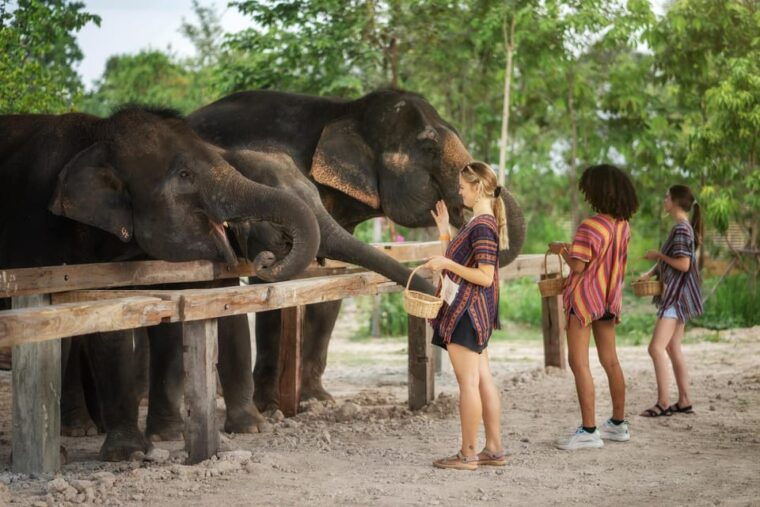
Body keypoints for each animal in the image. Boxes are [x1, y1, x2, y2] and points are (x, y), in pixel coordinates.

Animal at [0, 107, 321, 460]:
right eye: (184, 174)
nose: (266, 258)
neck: (96, 135)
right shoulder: (33, 233)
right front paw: (116, 454)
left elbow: (126, 328)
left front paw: (143, 447)